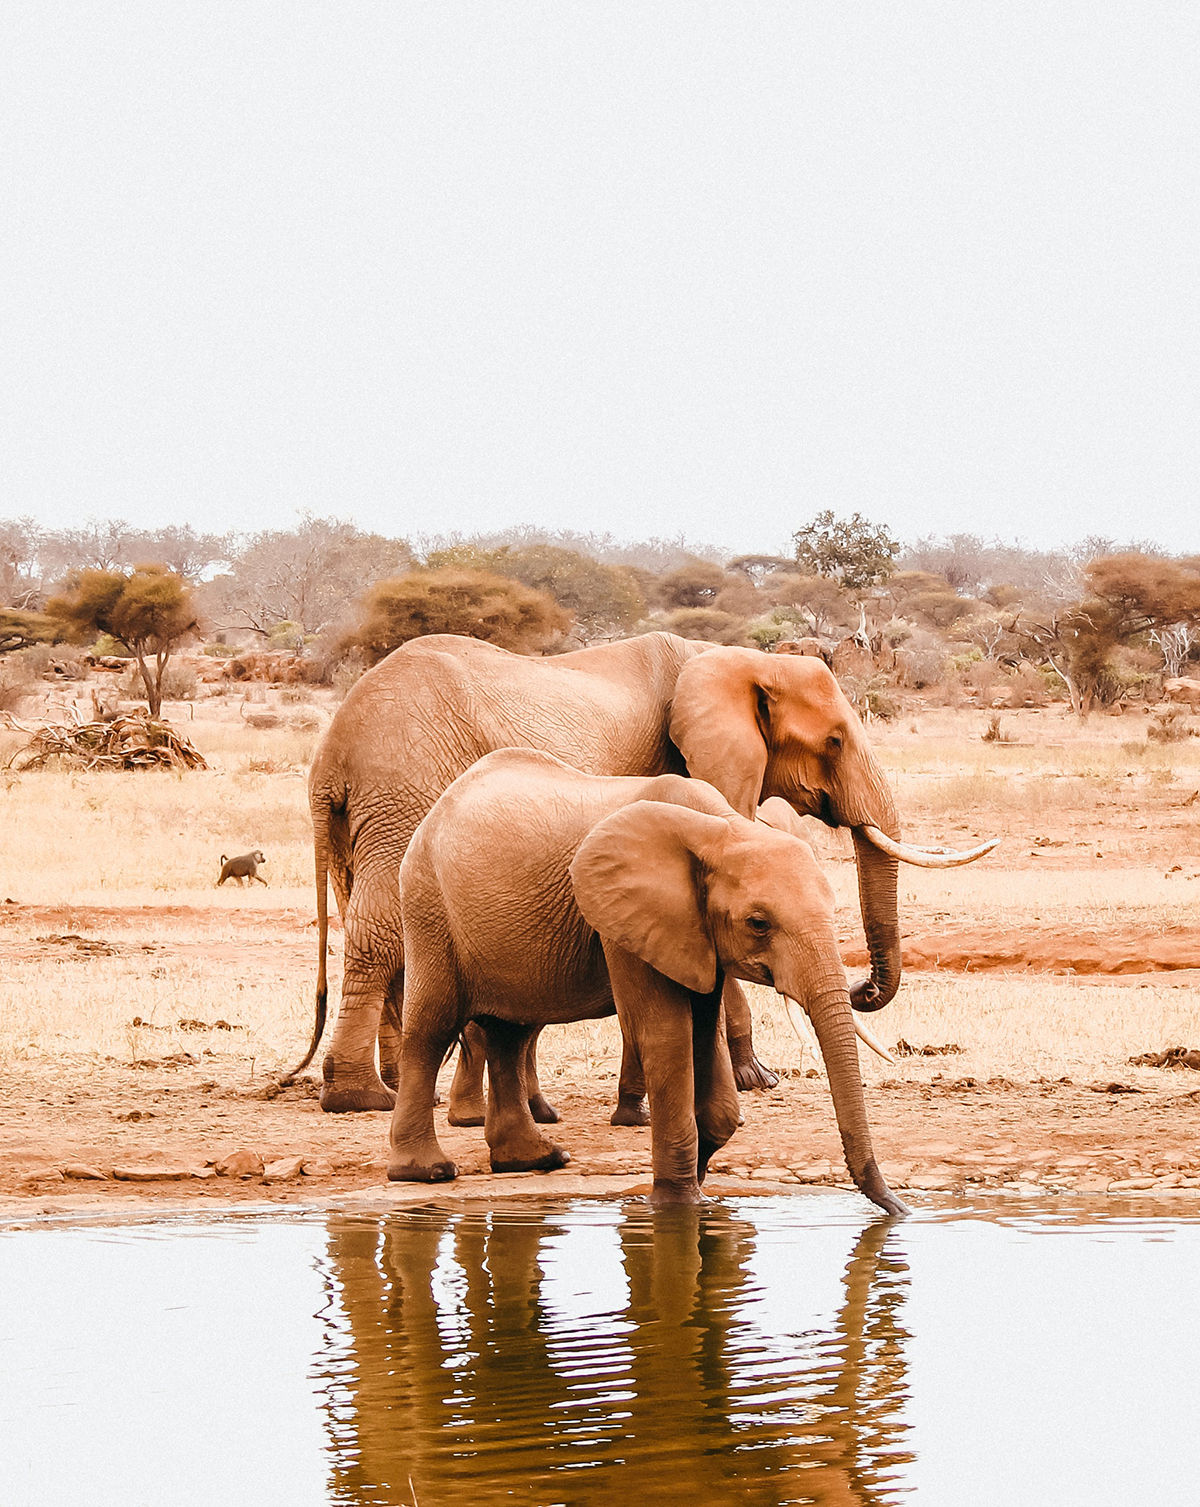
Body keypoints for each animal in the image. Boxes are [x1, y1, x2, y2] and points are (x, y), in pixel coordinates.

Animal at [295, 629, 988, 1115]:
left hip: (369, 813)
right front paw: (754, 1080)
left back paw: (406, 1089)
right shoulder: (689, 773)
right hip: (404, 789)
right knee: (381, 931)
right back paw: (361, 1098)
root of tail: (331, 754)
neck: (733, 659)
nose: (862, 989)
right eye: (836, 741)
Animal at [388, 747, 904, 1217]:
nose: (898, 1210)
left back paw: (534, 1161)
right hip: (429, 904)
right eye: (759, 924)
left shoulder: (695, 933)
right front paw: (677, 1205)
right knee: (432, 1029)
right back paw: (426, 1171)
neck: (722, 829)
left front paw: (700, 1187)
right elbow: (667, 1035)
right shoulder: (623, 920)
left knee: (509, 1033)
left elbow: (705, 1036)